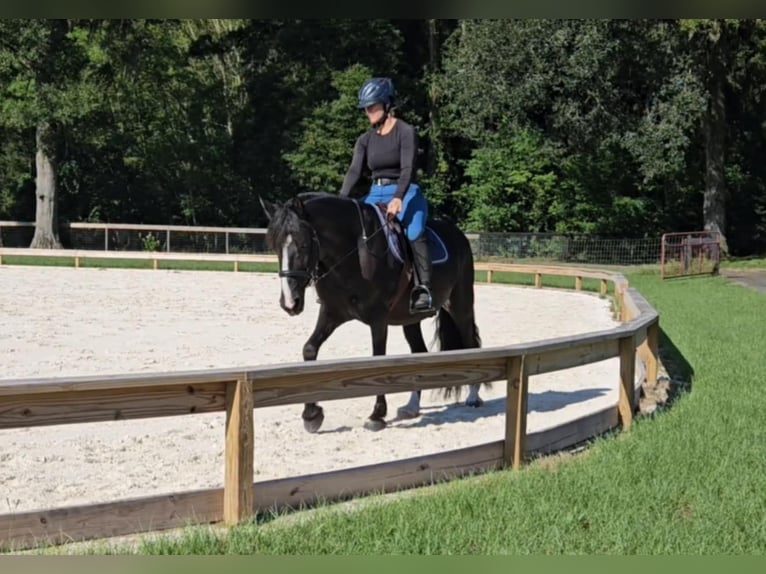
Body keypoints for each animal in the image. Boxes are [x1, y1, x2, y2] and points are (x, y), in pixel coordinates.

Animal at [260, 191, 486, 434]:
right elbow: (309, 349)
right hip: (410, 319)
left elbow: (378, 359)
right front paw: (311, 415)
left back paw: (473, 397)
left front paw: (377, 414)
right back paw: (412, 407)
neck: (354, 252)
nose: (290, 302)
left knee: (471, 344)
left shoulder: (379, 318)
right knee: (419, 352)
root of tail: (458, 235)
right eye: (274, 246)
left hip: (461, 306)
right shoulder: (332, 312)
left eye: (302, 245)